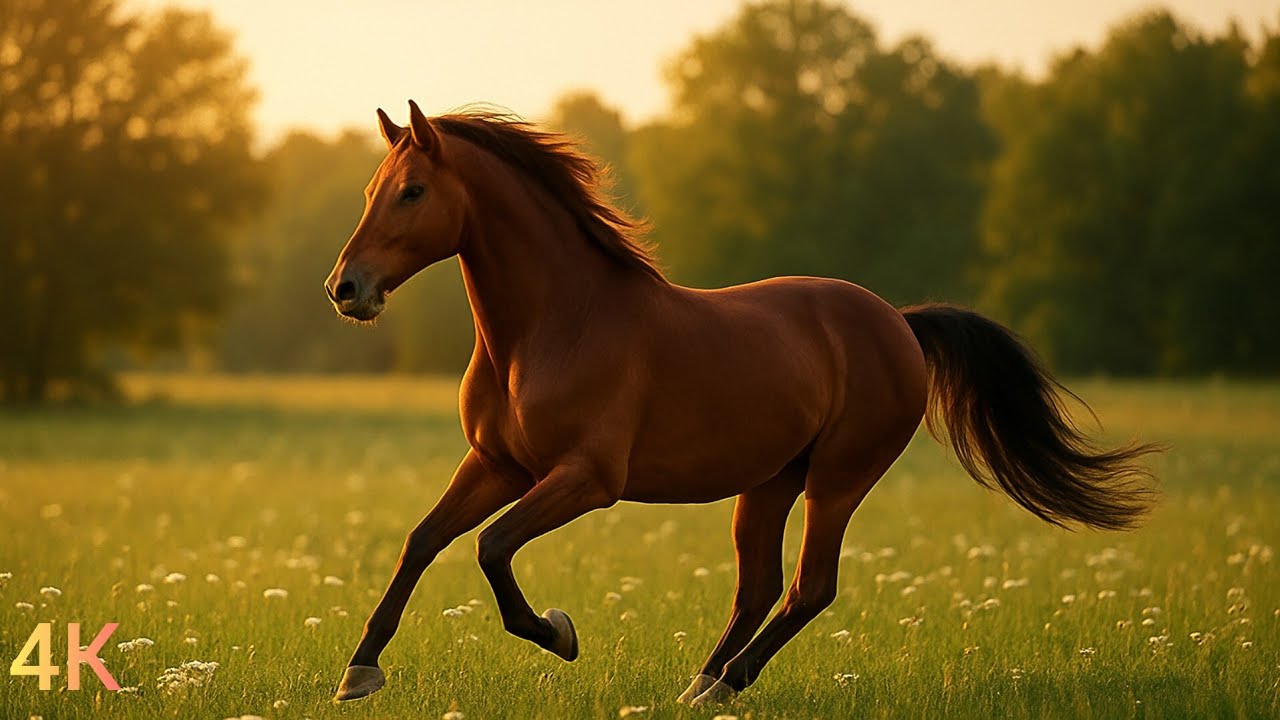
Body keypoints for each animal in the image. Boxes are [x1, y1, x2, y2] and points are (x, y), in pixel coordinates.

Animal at [323, 101, 1158, 706]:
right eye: (369, 191)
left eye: (413, 191)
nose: (346, 288)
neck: (550, 327)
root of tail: (899, 322)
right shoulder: (496, 464)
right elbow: (422, 541)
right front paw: (359, 673)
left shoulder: (586, 480)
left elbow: (491, 548)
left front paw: (559, 633)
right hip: (769, 482)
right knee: (757, 587)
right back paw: (700, 683)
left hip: (838, 480)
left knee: (809, 587)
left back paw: (723, 687)